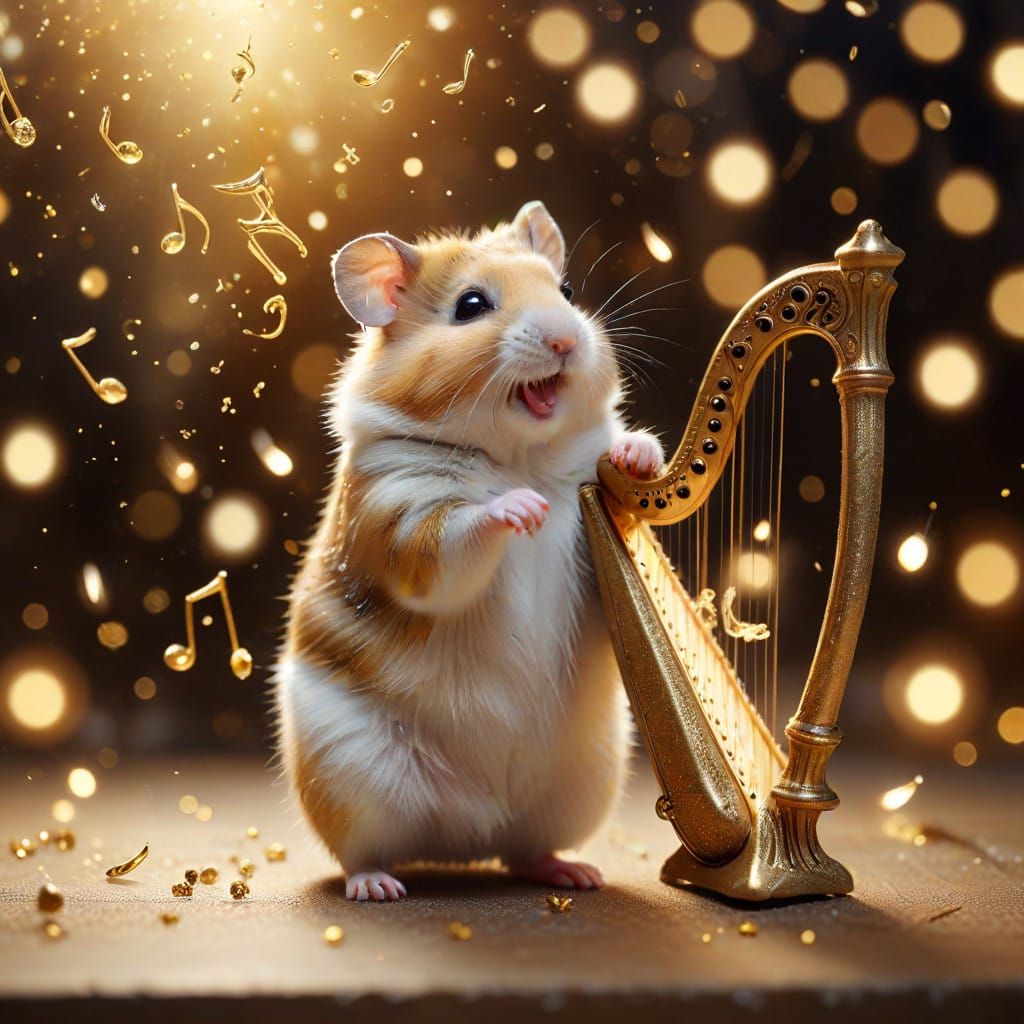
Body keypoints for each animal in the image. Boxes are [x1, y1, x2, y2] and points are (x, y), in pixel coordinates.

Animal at [274, 201, 664, 901]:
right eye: (471, 305)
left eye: (567, 292)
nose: (566, 341)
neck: (520, 456)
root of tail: (464, 842)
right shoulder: (398, 518)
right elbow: (455, 540)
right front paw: (522, 510)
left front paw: (637, 454)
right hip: (349, 775)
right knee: (362, 852)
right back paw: (378, 887)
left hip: (581, 784)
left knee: (523, 852)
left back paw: (575, 873)